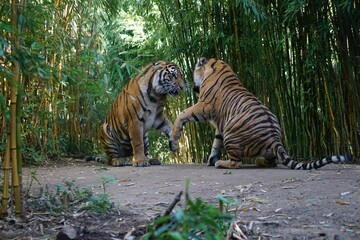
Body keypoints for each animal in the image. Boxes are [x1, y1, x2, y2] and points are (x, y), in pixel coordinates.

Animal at [170, 57, 350, 170]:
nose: (189, 85)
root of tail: (274, 137)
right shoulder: (220, 126)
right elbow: (216, 143)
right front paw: (211, 159)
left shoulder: (205, 106)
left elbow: (183, 113)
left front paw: (175, 134)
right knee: (272, 161)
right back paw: (259, 160)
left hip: (231, 134)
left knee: (237, 163)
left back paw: (221, 163)